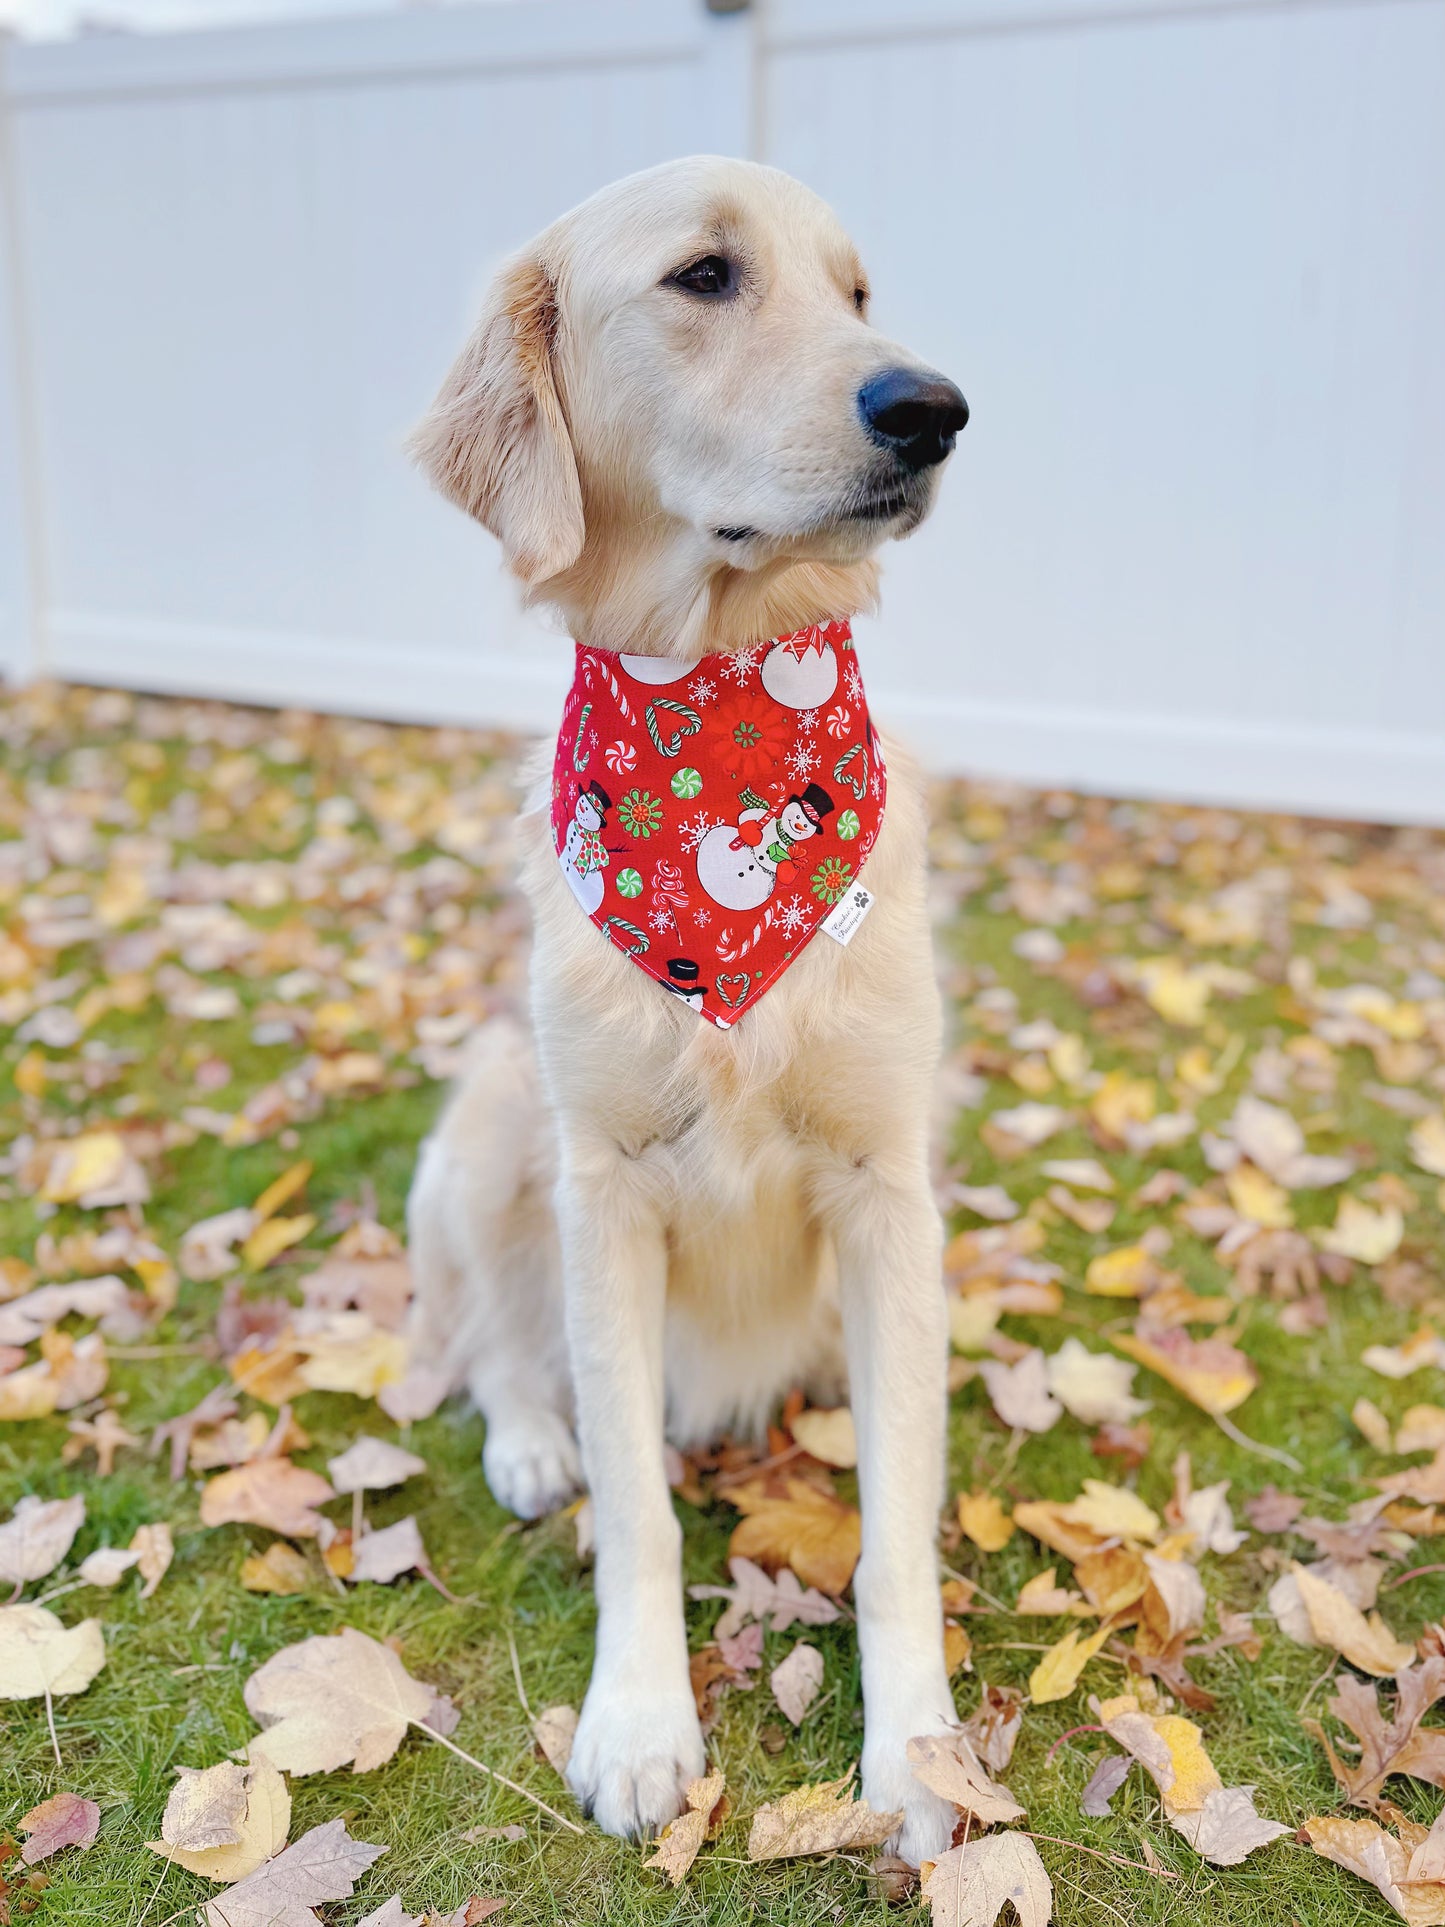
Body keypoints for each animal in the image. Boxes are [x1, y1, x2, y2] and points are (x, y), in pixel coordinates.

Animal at [408, 154, 974, 1865]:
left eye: (856, 291)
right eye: (706, 277)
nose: (933, 406)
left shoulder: (886, 1184)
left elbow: (897, 1526)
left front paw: (916, 1751)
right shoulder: (601, 1186)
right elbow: (639, 1511)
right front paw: (642, 1723)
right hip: (487, 1121)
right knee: (498, 1342)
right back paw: (531, 1438)